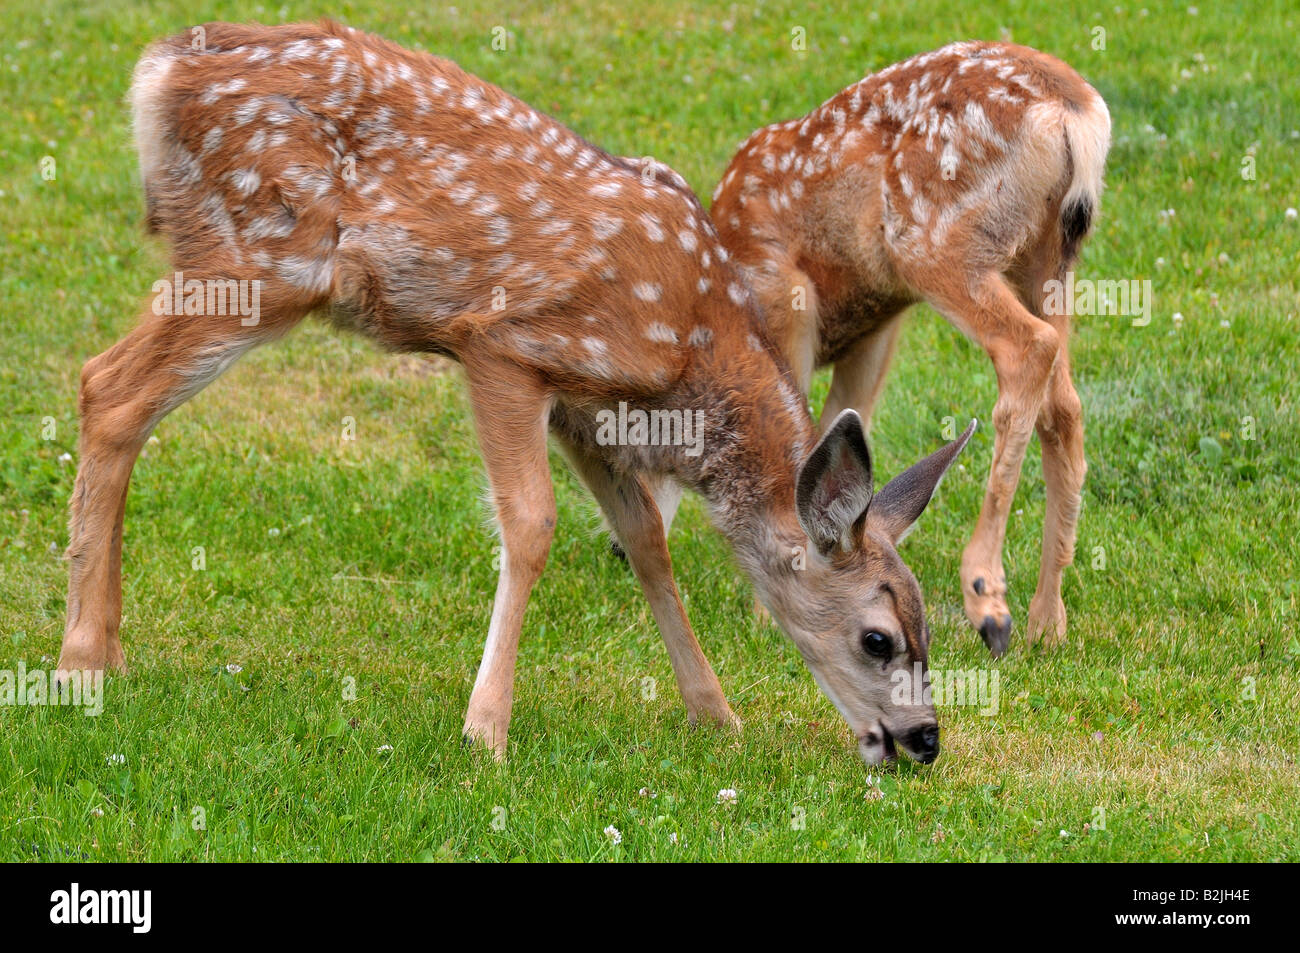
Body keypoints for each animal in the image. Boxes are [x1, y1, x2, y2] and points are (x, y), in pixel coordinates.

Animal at [61, 20, 977, 764]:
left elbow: (647, 540)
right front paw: (486, 730)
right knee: (107, 385)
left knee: (117, 393)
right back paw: (79, 661)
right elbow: (531, 523)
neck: (692, 345)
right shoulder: (507, 346)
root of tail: (158, 72)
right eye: (878, 638)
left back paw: (109, 647)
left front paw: (715, 714)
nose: (925, 740)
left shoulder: (590, 410)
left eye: (929, 628)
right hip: (255, 258)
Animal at [707, 42, 1112, 655]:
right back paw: (1047, 623)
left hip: (933, 240)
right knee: (1064, 406)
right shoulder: (878, 330)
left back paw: (988, 597)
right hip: (1048, 261)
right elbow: (840, 428)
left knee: (1027, 349)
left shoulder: (784, 300)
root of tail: (1074, 112)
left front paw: (769, 610)